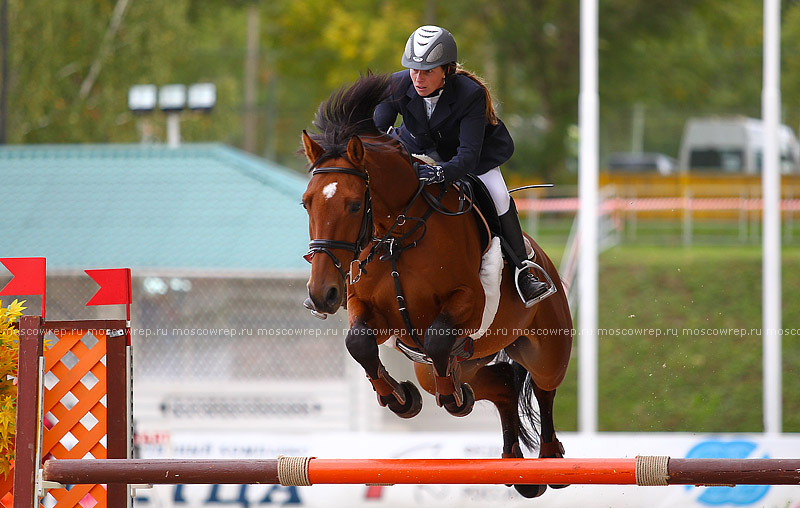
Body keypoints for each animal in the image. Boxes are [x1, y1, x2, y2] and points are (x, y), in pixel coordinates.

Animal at [298, 73, 568, 498]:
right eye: (307, 203)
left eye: (355, 205)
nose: (322, 295)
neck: (397, 235)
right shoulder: (370, 310)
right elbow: (358, 343)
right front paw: (399, 398)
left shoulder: (468, 302)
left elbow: (440, 336)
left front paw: (451, 398)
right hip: (455, 363)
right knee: (503, 384)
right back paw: (513, 463)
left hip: (547, 347)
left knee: (544, 386)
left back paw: (550, 459)